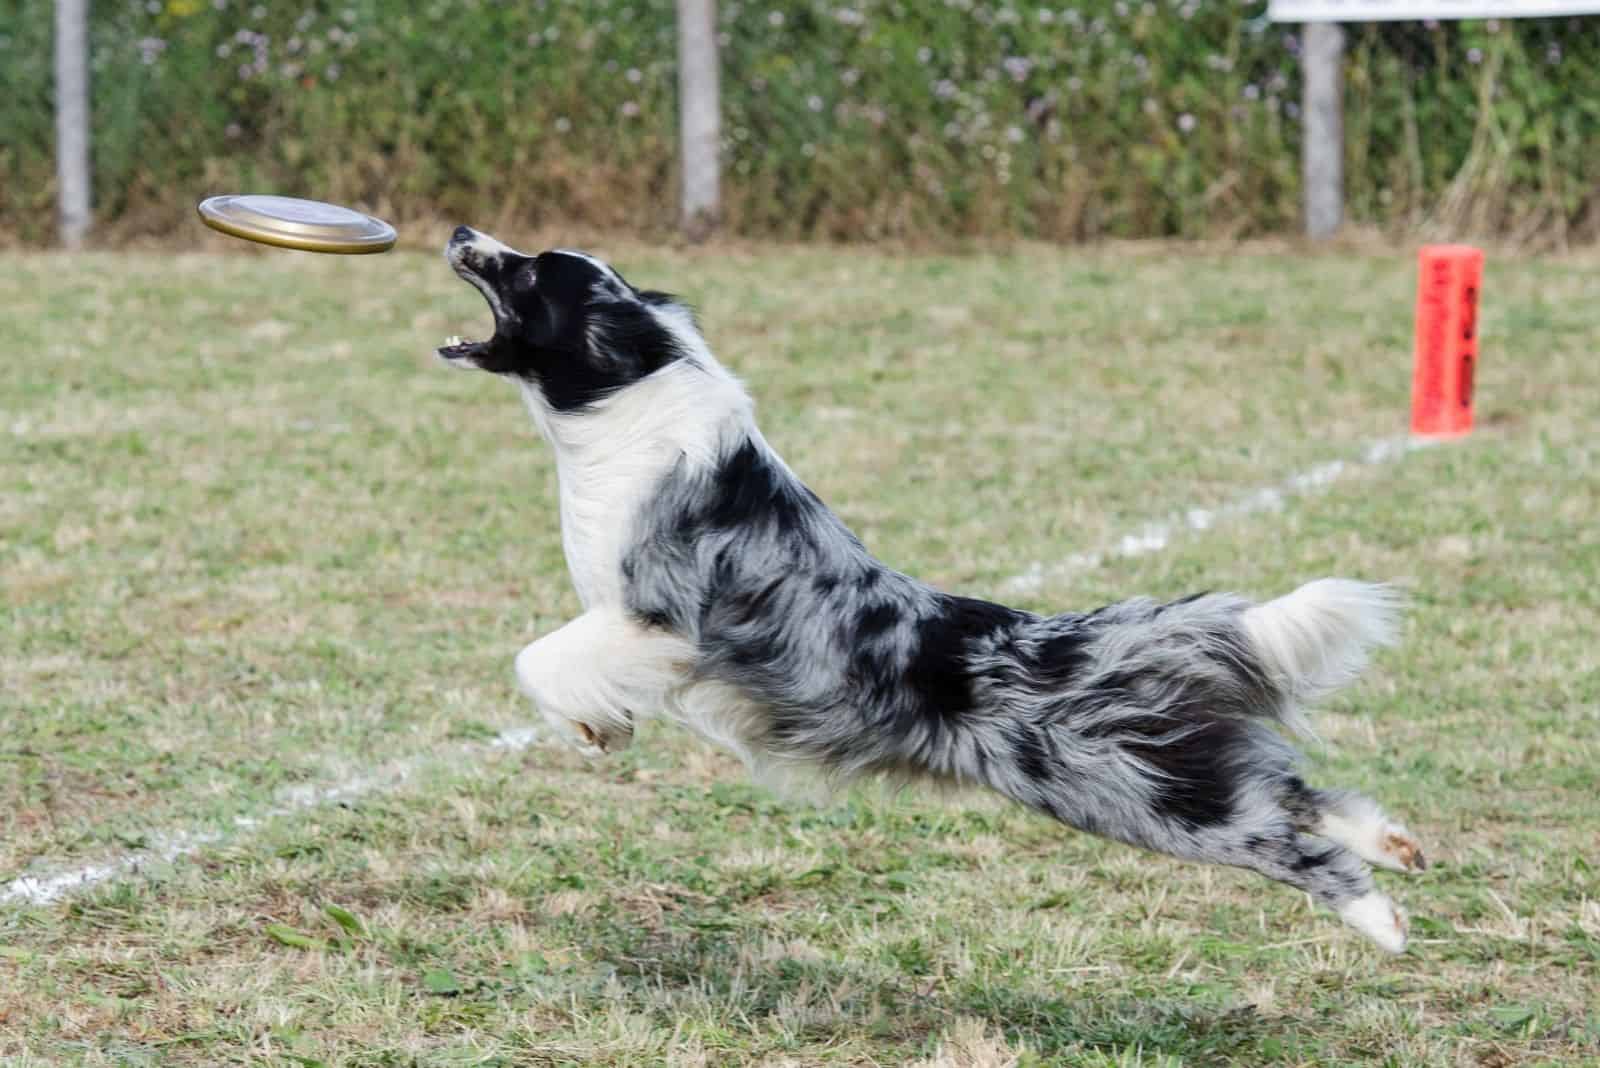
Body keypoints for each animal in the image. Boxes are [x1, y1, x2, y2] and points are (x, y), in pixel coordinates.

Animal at [435, 230, 1427, 952]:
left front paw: (594, 722)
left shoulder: (656, 621)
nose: (460, 233)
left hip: (1132, 799)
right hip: (1175, 771)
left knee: (1286, 840)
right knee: (1297, 791)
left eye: (530, 269)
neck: (626, 406)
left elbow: (537, 657)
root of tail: (1089, 640)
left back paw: (1382, 922)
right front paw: (602, 726)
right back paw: (1395, 845)